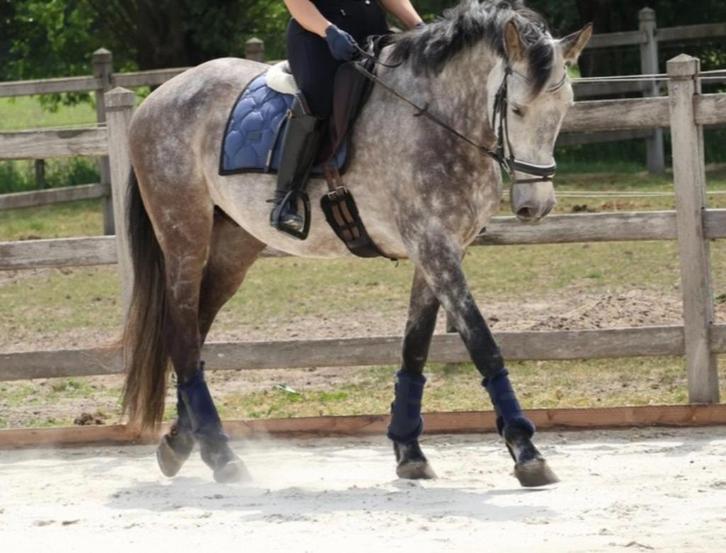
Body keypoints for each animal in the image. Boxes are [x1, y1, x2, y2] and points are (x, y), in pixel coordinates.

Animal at [120, 0, 591, 486]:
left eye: (566, 107)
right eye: (516, 109)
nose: (535, 205)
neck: (437, 116)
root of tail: (159, 96)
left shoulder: (437, 252)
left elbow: (415, 347)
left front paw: (409, 450)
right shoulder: (434, 248)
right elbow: (483, 343)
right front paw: (526, 450)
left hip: (233, 246)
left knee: (195, 331)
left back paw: (181, 443)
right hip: (184, 235)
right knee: (182, 332)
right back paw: (220, 453)